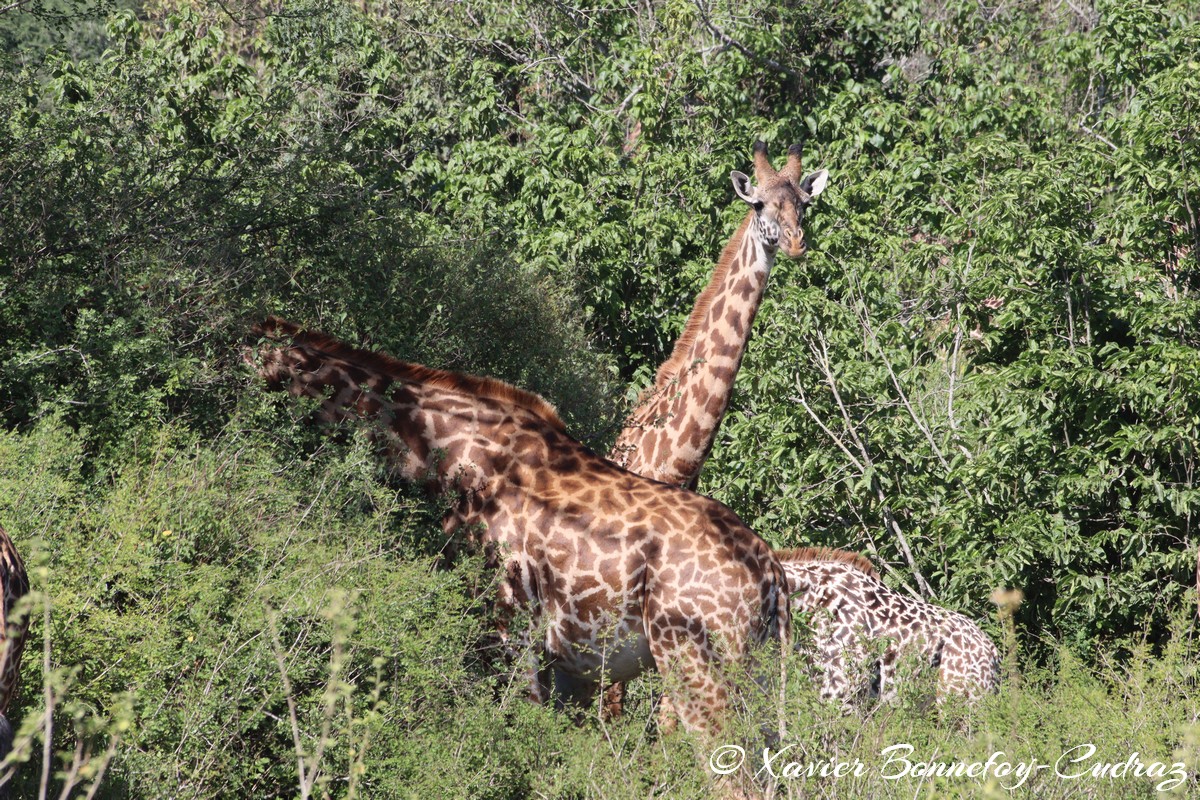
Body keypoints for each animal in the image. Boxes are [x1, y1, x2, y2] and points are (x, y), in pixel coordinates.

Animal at [246, 316, 787, 734]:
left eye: (260, 363)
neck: (440, 451)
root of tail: (773, 579)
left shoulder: (506, 622)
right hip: (756, 682)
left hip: (696, 666)